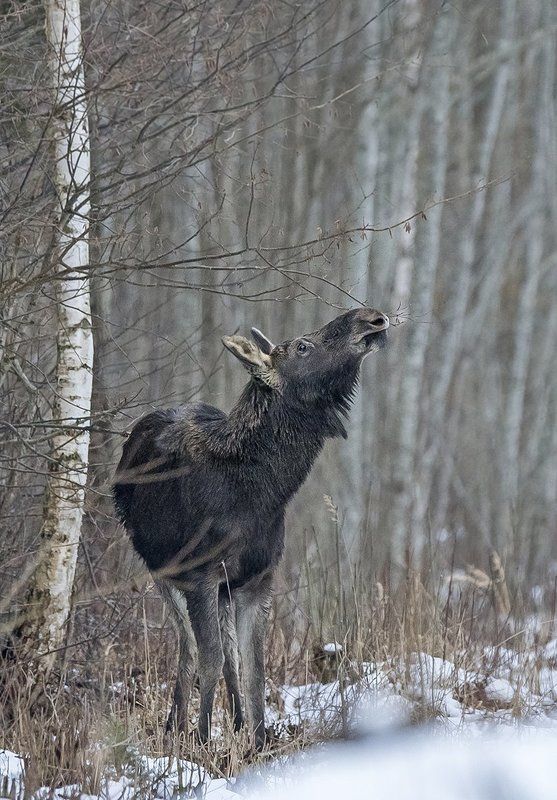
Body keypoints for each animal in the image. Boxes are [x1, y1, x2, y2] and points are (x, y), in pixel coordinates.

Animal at [113, 306, 389, 749]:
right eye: (302, 346)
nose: (372, 318)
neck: (261, 495)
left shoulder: (258, 580)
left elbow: (253, 670)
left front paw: (258, 742)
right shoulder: (200, 576)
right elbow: (209, 659)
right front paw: (202, 742)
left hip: (226, 586)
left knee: (227, 659)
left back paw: (234, 724)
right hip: (161, 570)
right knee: (188, 649)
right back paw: (177, 727)